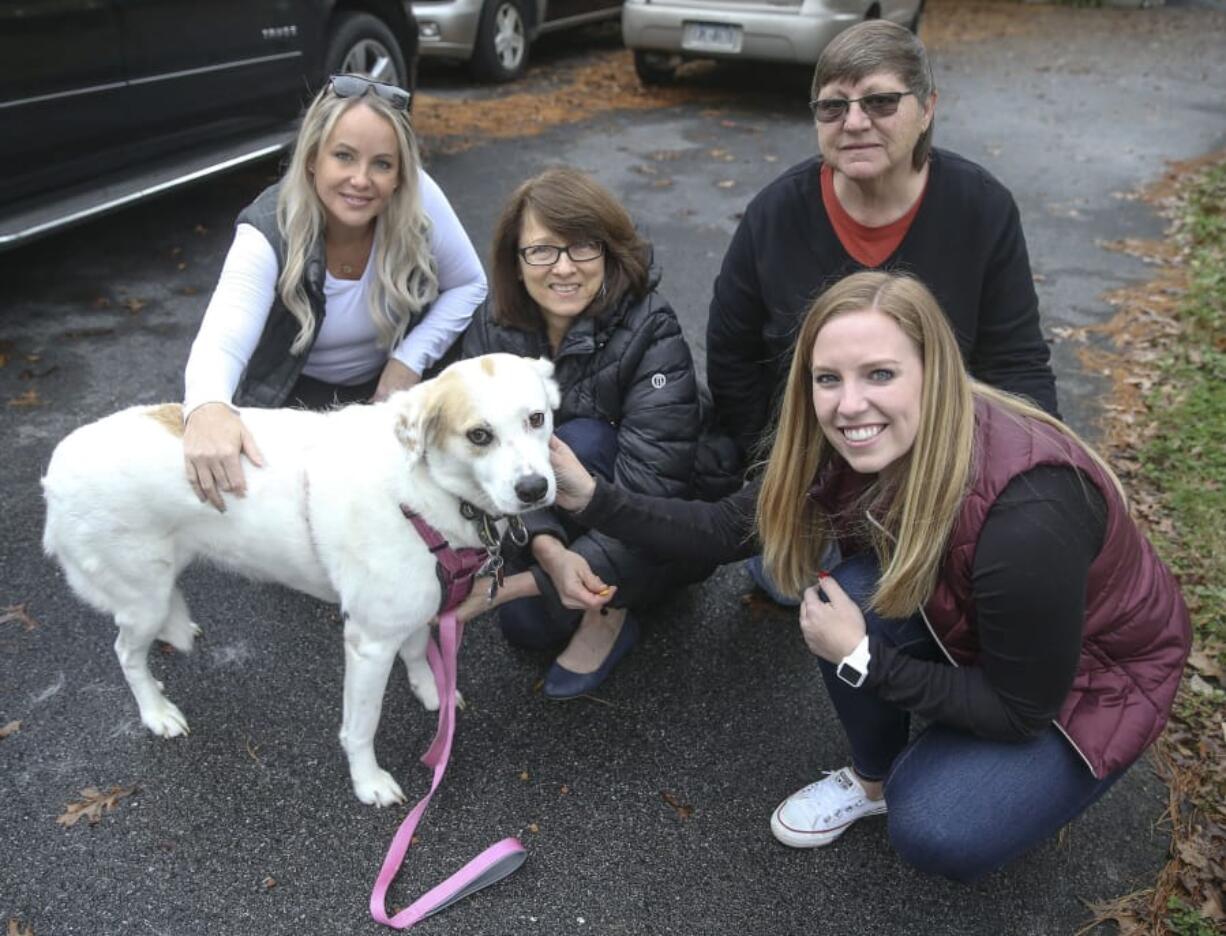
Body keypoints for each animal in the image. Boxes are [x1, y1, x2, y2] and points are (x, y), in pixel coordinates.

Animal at [38, 355, 556, 809]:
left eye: (537, 418)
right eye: (479, 435)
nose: (535, 489)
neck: (427, 493)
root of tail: (56, 466)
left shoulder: (411, 612)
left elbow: (416, 654)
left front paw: (434, 694)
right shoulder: (368, 643)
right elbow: (361, 726)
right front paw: (368, 782)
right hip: (141, 597)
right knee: (126, 653)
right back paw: (156, 713)